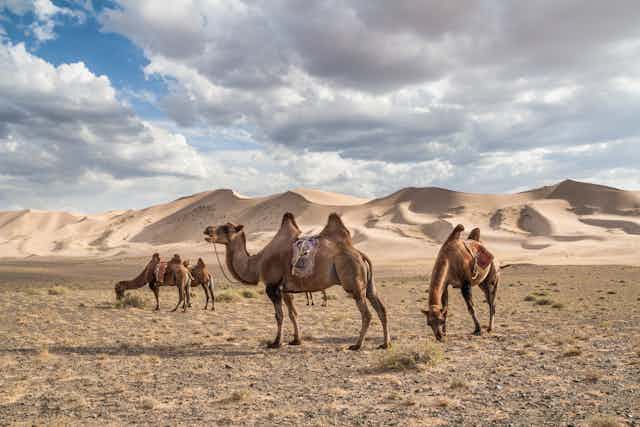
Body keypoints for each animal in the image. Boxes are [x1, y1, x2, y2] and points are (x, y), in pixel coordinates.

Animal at [203, 212, 390, 350]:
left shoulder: (272, 287)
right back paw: (385, 344)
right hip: (369, 285)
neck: (257, 263)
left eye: (226, 228)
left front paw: (275, 342)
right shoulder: (286, 289)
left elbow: (279, 316)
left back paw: (357, 345)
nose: (207, 229)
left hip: (353, 283)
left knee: (367, 313)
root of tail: (360, 254)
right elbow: (293, 313)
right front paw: (295, 340)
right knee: (381, 309)